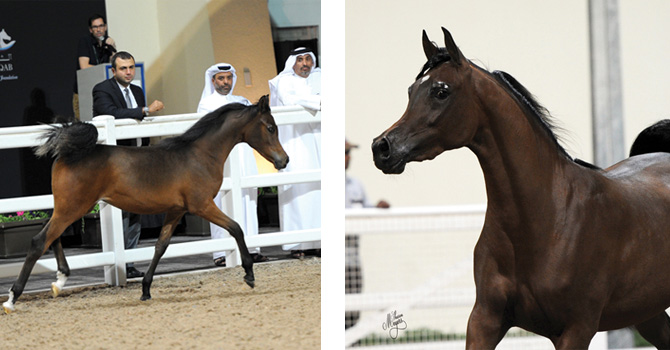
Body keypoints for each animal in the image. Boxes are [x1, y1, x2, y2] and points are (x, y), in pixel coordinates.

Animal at [3, 94, 292, 314]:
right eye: (270, 127)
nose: (284, 160)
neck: (200, 154)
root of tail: (66, 153)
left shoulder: (176, 211)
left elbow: (160, 247)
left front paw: (145, 289)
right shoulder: (202, 205)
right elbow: (236, 228)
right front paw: (249, 275)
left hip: (69, 208)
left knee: (54, 239)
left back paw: (59, 282)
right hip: (74, 207)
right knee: (39, 241)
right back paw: (12, 299)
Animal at [372, 28, 670, 350]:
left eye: (441, 91)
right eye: (411, 91)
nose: (382, 148)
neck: (548, 220)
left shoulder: (576, 330)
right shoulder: (484, 320)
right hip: (647, 313)